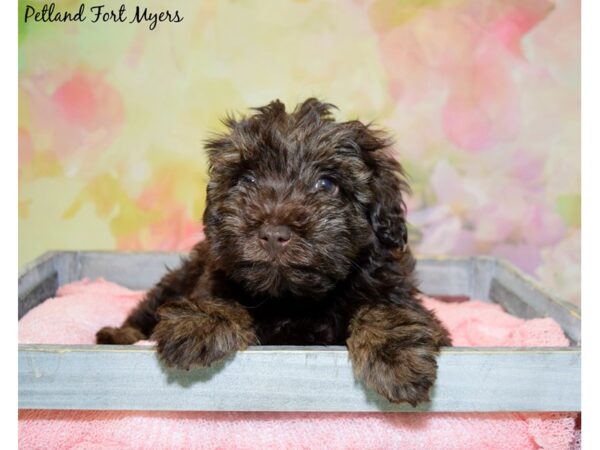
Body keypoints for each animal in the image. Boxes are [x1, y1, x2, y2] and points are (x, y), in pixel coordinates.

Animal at [97, 97, 450, 404]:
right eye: (248, 180)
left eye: (326, 184)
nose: (273, 234)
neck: (293, 299)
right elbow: (218, 299)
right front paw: (198, 323)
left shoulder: (397, 290)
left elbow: (386, 309)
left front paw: (395, 356)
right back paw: (118, 335)